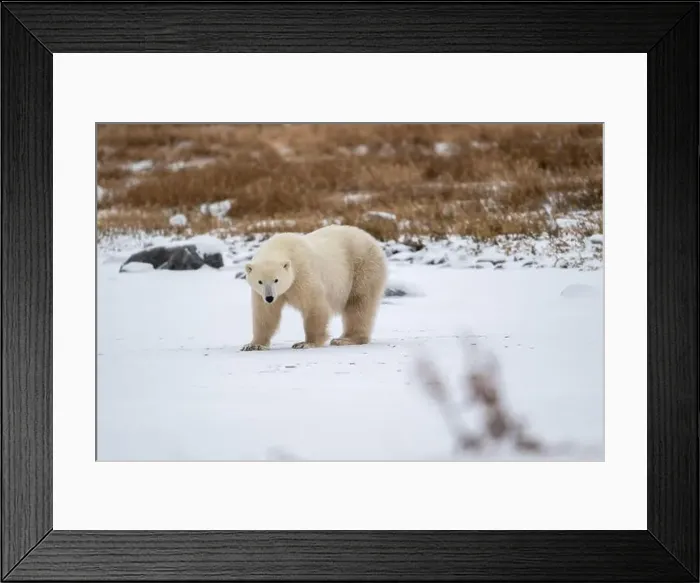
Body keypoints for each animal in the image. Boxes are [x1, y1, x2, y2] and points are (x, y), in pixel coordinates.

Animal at [240, 225, 388, 351]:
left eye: (276, 280)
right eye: (260, 281)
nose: (270, 297)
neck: (282, 246)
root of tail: (371, 239)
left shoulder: (302, 273)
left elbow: (314, 305)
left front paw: (306, 343)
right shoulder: (261, 293)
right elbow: (265, 314)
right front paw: (253, 345)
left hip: (363, 266)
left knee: (358, 303)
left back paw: (345, 339)